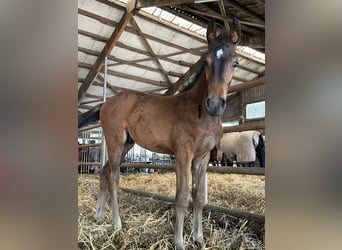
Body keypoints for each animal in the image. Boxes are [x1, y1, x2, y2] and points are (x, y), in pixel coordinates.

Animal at [79, 18, 242, 250]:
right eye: (206, 62)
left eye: (235, 63)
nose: (215, 104)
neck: (201, 112)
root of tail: (105, 103)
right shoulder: (183, 154)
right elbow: (182, 197)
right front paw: (179, 242)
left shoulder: (202, 157)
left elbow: (199, 196)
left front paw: (199, 237)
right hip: (115, 142)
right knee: (113, 176)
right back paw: (117, 223)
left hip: (127, 144)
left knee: (103, 172)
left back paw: (99, 216)